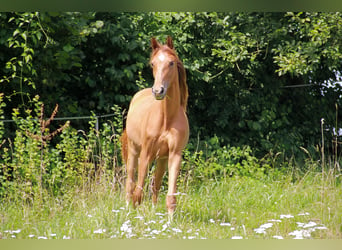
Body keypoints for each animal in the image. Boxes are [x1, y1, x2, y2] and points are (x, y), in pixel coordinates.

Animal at [121, 36, 190, 214]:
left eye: (171, 63)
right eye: (152, 63)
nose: (158, 91)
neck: (166, 119)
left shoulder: (174, 155)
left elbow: (171, 198)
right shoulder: (146, 153)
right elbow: (138, 194)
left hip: (161, 160)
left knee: (155, 186)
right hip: (134, 151)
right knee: (130, 185)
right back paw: (126, 211)